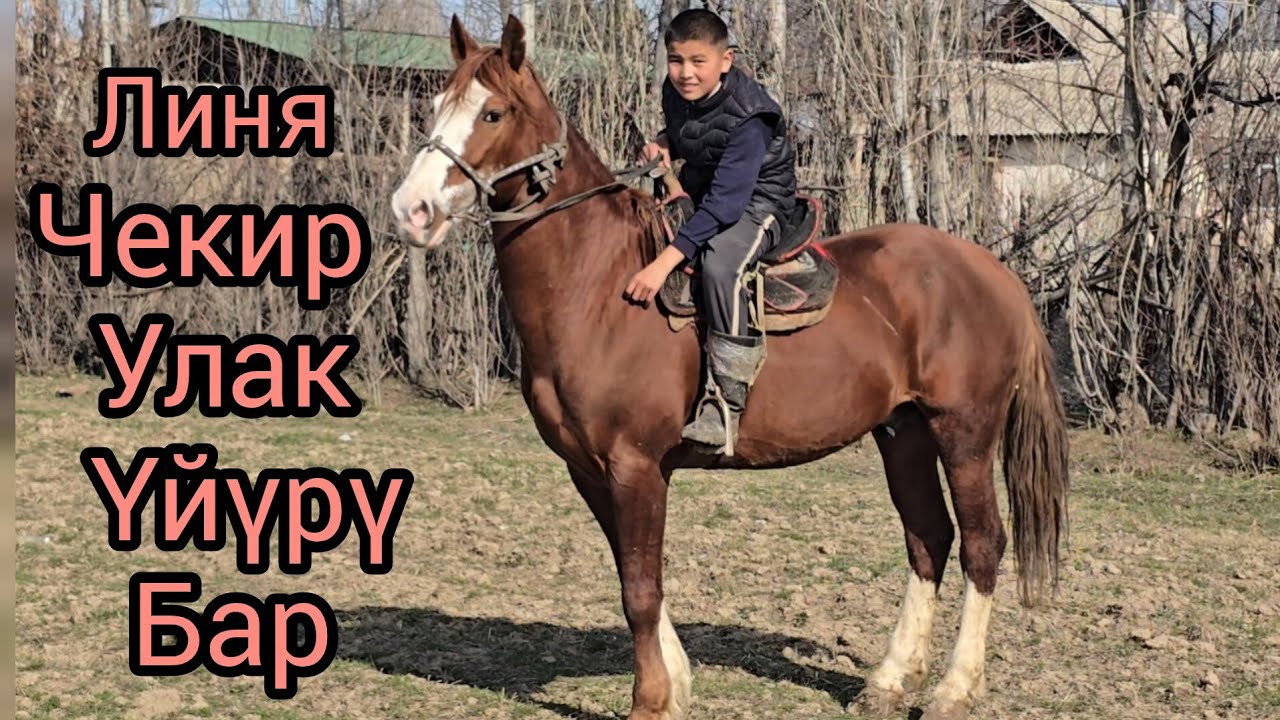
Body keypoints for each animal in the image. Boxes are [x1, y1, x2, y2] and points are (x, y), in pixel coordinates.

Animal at [392, 15, 1068, 720]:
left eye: (492, 112)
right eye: (436, 107)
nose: (411, 210)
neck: (596, 287)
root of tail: (995, 273)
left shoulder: (635, 466)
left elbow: (639, 589)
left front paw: (651, 699)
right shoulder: (589, 469)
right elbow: (635, 575)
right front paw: (676, 683)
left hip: (964, 432)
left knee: (983, 544)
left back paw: (954, 688)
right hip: (903, 432)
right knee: (928, 539)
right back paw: (888, 679)